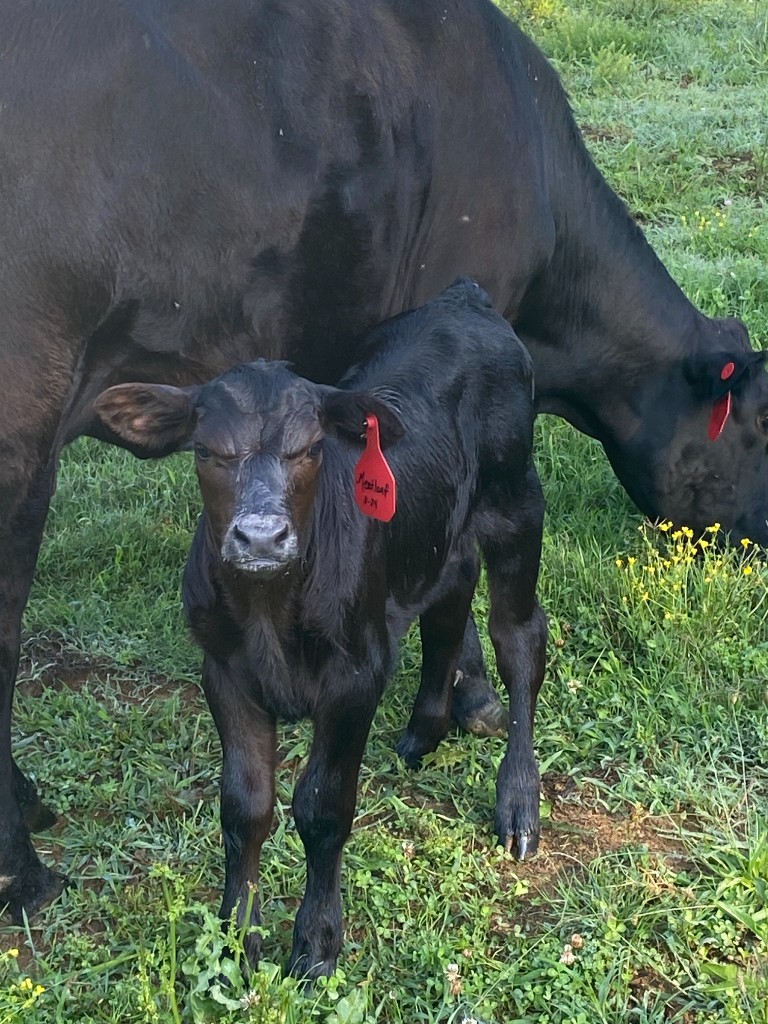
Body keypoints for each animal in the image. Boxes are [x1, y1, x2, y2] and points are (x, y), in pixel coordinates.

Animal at [92, 279, 547, 976]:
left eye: (307, 449)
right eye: (205, 450)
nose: (260, 537)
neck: (269, 610)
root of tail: (464, 300)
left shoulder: (354, 677)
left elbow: (322, 807)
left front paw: (315, 944)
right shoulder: (224, 671)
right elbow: (245, 805)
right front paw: (237, 936)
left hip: (516, 501)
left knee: (519, 637)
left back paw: (518, 803)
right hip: (443, 527)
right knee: (450, 597)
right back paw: (424, 731)